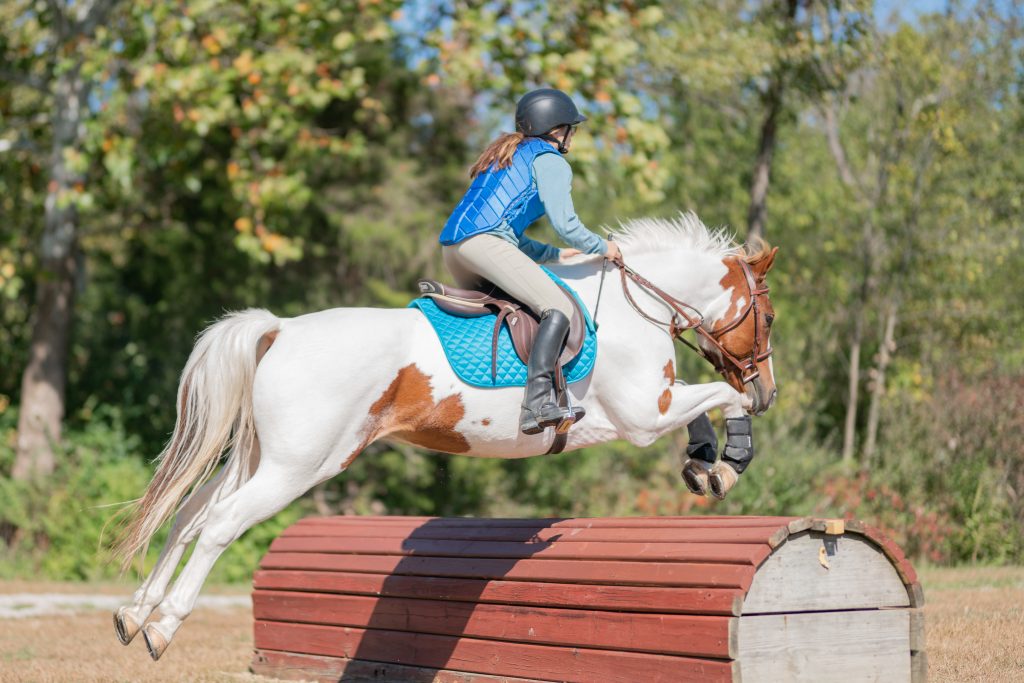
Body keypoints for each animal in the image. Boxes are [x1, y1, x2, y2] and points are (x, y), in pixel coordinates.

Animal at [110, 212, 779, 660]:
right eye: (768, 316)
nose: (771, 387)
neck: (632, 303)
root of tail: (281, 329)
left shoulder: (648, 406)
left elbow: (700, 400)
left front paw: (704, 464)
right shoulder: (642, 415)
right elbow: (723, 395)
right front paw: (731, 458)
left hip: (256, 458)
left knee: (190, 514)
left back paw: (134, 613)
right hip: (300, 464)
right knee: (220, 523)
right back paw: (163, 626)